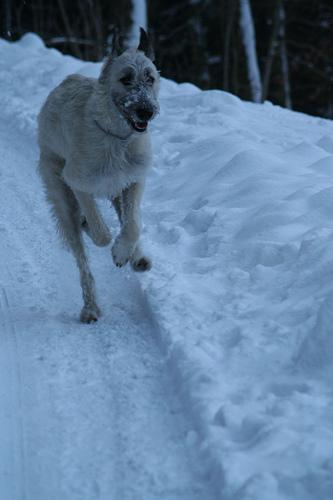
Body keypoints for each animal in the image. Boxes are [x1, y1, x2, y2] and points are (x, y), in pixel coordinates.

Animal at [37, 28, 160, 324]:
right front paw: (104, 239)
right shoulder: (77, 181)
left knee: (125, 221)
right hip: (58, 188)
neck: (117, 136)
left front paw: (124, 252)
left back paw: (136, 257)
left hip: (117, 190)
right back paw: (90, 307)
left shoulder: (134, 180)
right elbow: (100, 232)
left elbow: (133, 225)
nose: (147, 111)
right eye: (125, 78)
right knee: (82, 259)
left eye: (150, 78)